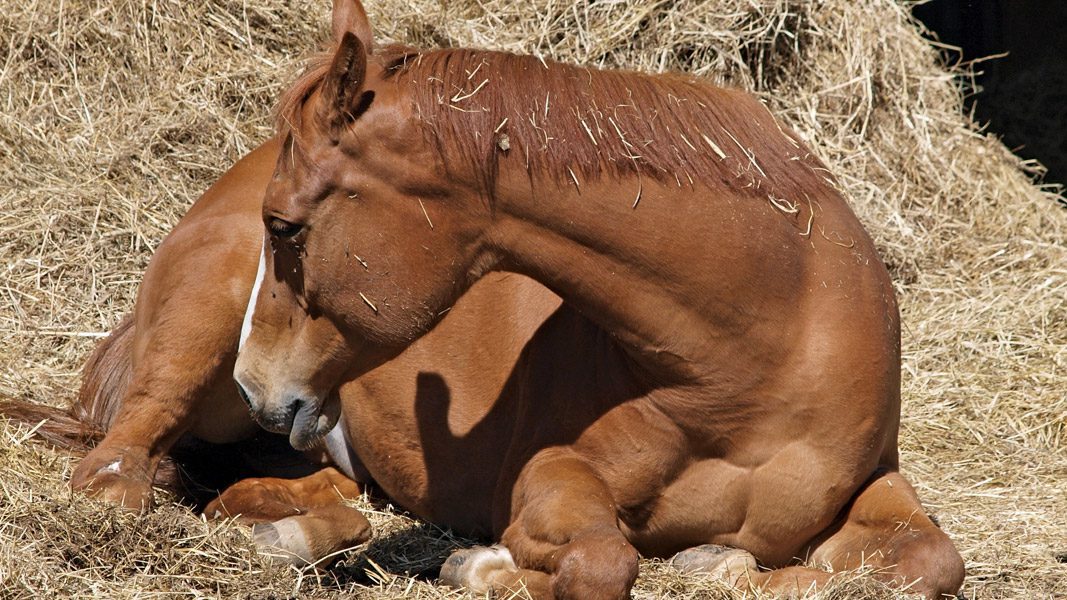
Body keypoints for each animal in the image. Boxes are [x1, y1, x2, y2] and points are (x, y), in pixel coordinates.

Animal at [233, 2, 968, 593]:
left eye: (283, 226)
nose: (251, 381)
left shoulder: (872, 479)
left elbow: (932, 561)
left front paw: (714, 564)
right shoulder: (551, 473)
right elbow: (601, 563)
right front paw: (479, 565)